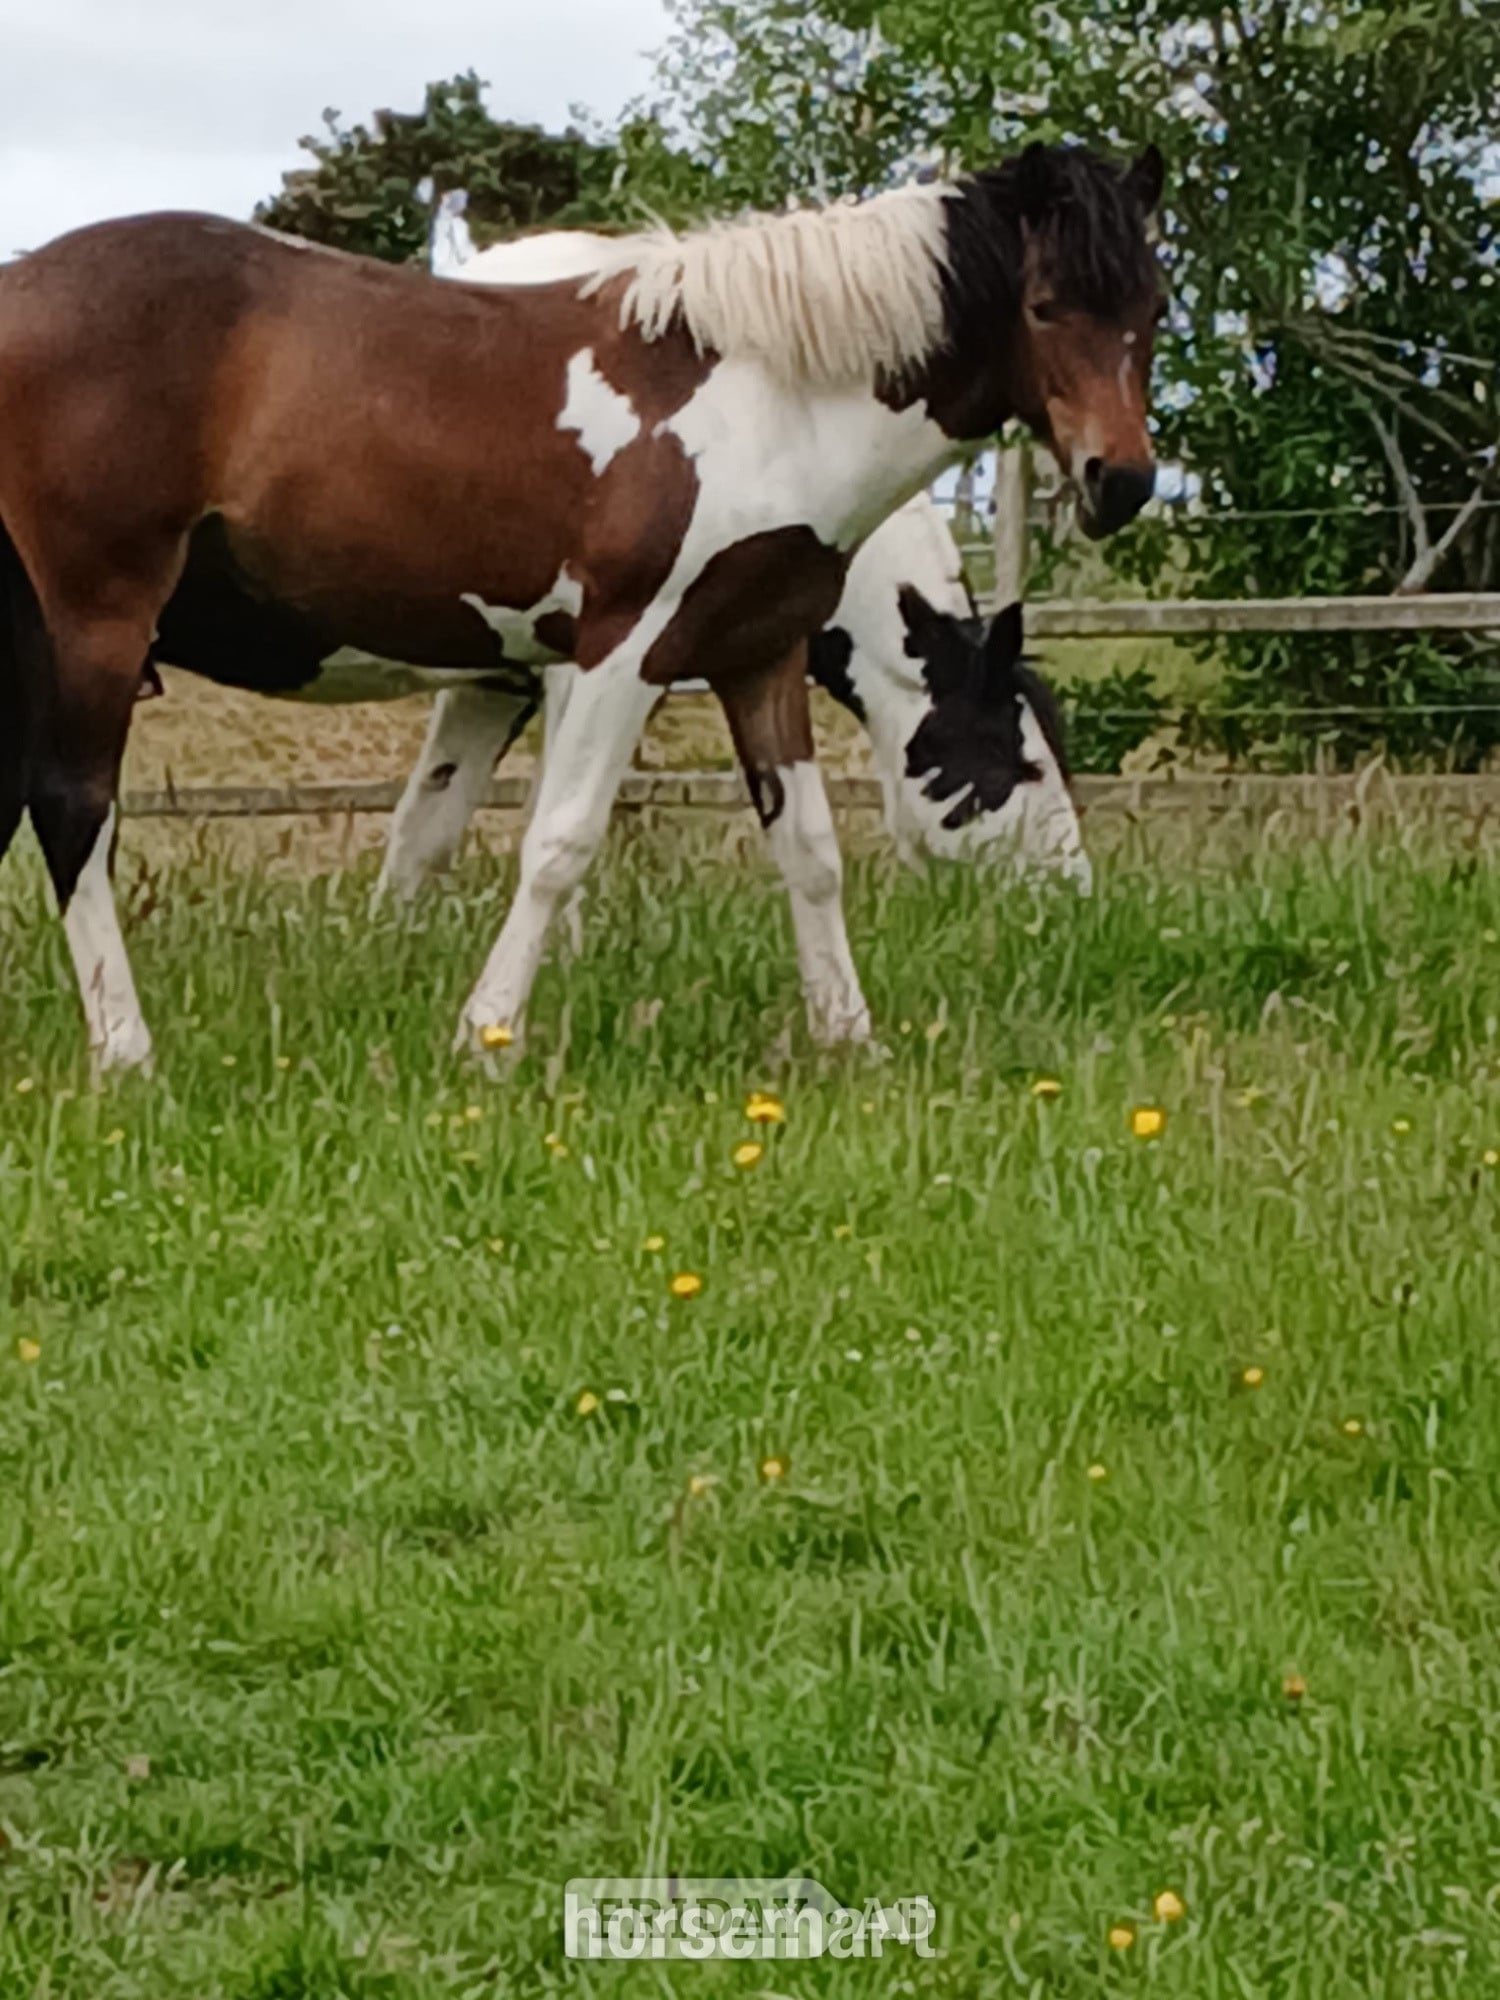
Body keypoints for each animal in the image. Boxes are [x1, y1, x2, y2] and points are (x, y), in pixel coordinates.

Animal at [0, 141, 1163, 1071]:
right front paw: (488, 1034)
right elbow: (557, 842)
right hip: (97, 624)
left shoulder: (754, 656)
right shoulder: (616, 654)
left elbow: (809, 851)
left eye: (1151, 311)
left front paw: (850, 1039)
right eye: (1047, 305)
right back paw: (126, 1050)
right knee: (72, 813)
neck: (769, 400)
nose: (1122, 480)